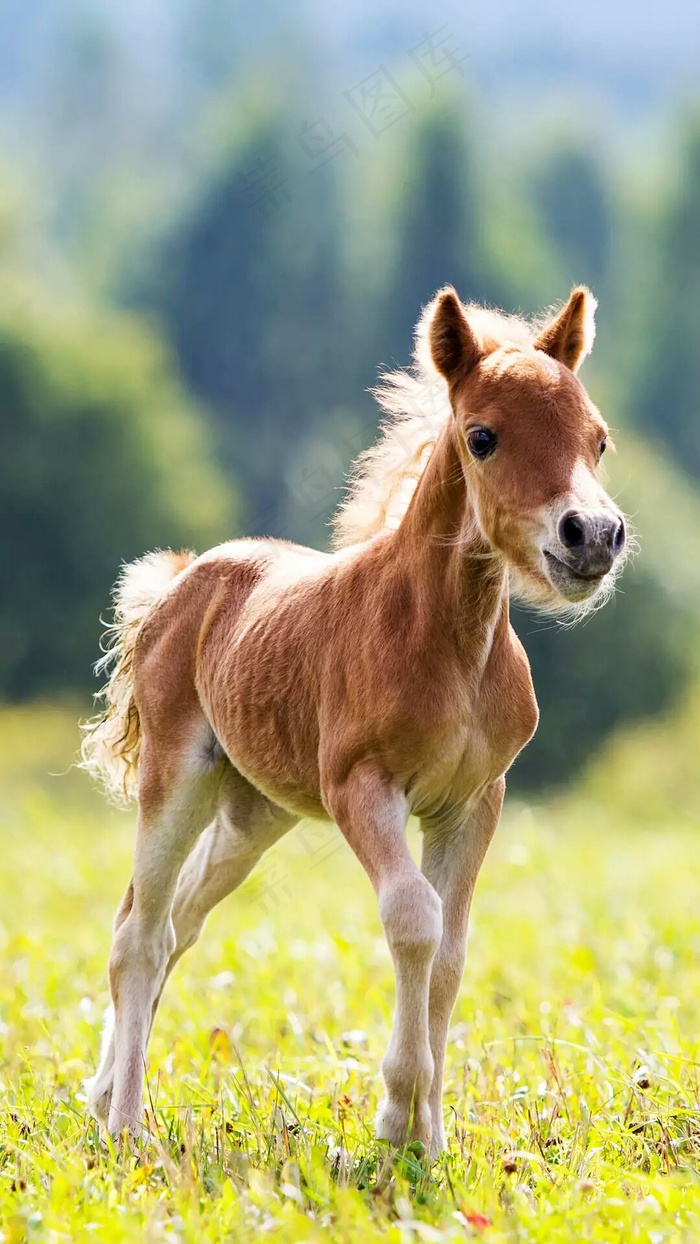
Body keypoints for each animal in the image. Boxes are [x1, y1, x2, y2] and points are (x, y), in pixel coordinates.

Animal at [82, 284, 629, 1154]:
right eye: (483, 437)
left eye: (598, 439)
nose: (594, 536)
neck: (448, 640)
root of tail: (184, 578)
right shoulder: (361, 787)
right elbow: (414, 920)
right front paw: (398, 1116)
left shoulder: (474, 802)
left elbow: (452, 951)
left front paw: (428, 1137)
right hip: (179, 775)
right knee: (140, 933)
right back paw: (127, 1128)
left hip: (254, 812)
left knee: (176, 920)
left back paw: (103, 1096)